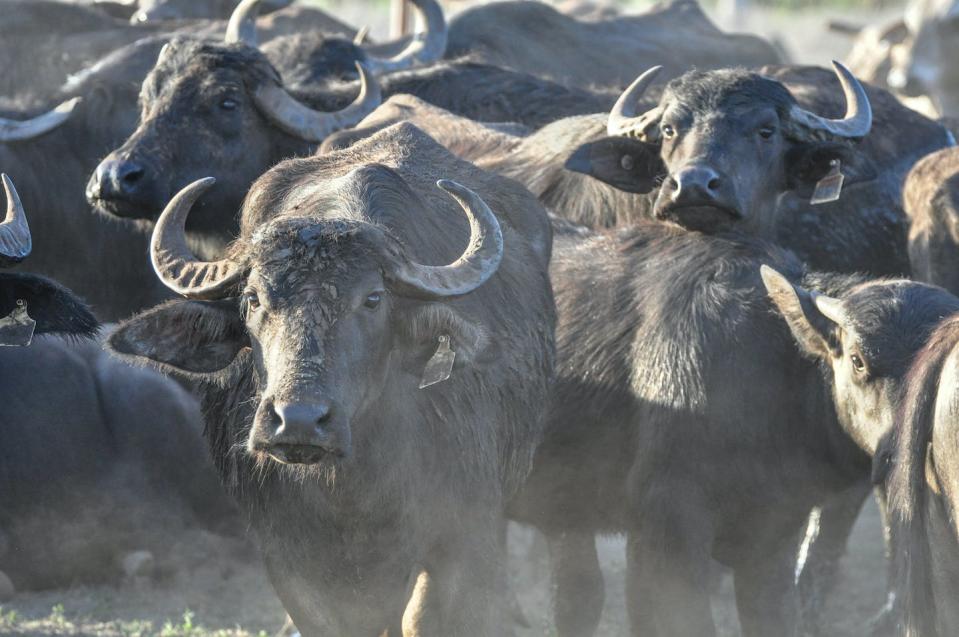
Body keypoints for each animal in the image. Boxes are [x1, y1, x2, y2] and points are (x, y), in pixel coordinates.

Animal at [107, 123, 556, 632]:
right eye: (253, 298)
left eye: (374, 299)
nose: (298, 421)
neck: (351, 490)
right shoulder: (292, 561)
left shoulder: (464, 535)